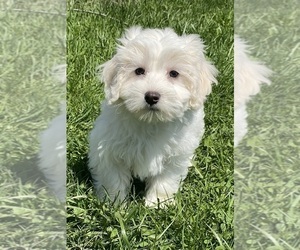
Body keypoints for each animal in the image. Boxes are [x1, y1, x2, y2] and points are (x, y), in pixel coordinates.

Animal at [88, 26, 217, 206]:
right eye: (139, 71)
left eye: (174, 74)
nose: (151, 96)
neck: (150, 122)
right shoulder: (109, 151)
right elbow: (113, 179)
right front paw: (114, 204)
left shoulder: (175, 157)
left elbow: (165, 181)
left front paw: (157, 203)